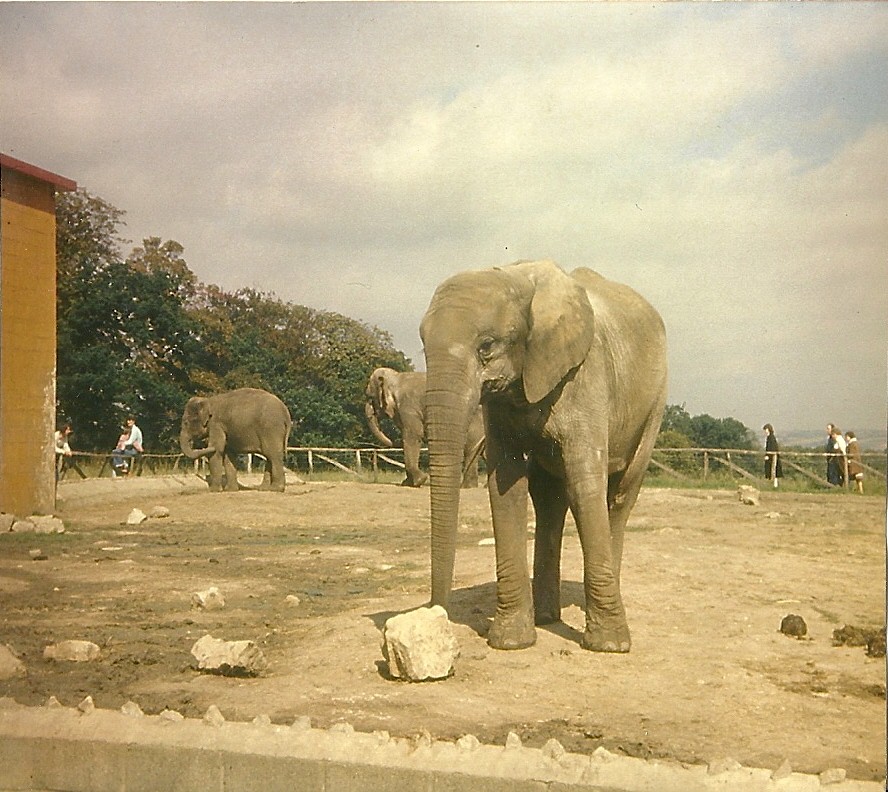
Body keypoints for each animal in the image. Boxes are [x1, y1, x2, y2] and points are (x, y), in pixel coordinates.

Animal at [419, 260, 667, 653]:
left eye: (486, 346)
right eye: (422, 344)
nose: (436, 614)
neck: (516, 277)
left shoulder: (585, 376)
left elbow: (585, 483)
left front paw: (609, 647)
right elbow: (506, 487)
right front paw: (510, 642)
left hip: (654, 405)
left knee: (620, 495)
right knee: (549, 499)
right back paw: (546, 617)